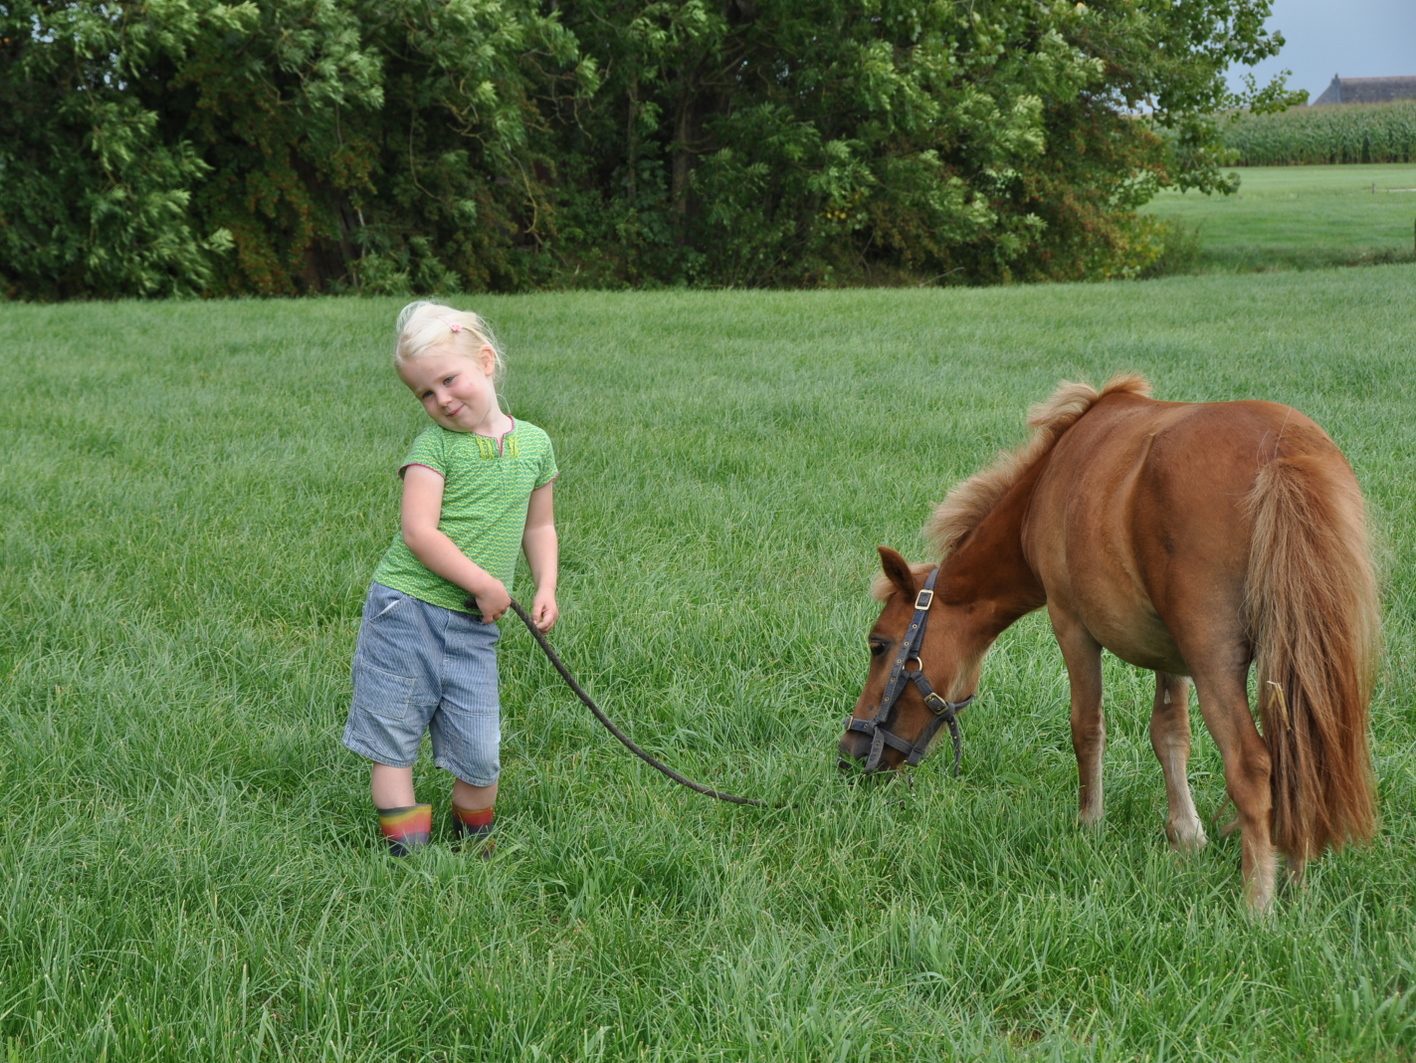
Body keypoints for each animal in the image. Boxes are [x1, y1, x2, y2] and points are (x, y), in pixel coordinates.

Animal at [838, 376, 1382, 917]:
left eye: (879, 645)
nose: (851, 750)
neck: (1048, 482)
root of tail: (1282, 452)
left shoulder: (1072, 627)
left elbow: (1087, 727)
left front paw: (1090, 825)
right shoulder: (1172, 655)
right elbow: (1170, 735)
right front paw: (1185, 836)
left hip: (1216, 663)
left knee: (1254, 764)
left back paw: (1259, 903)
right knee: (1301, 758)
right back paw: (1297, 880)